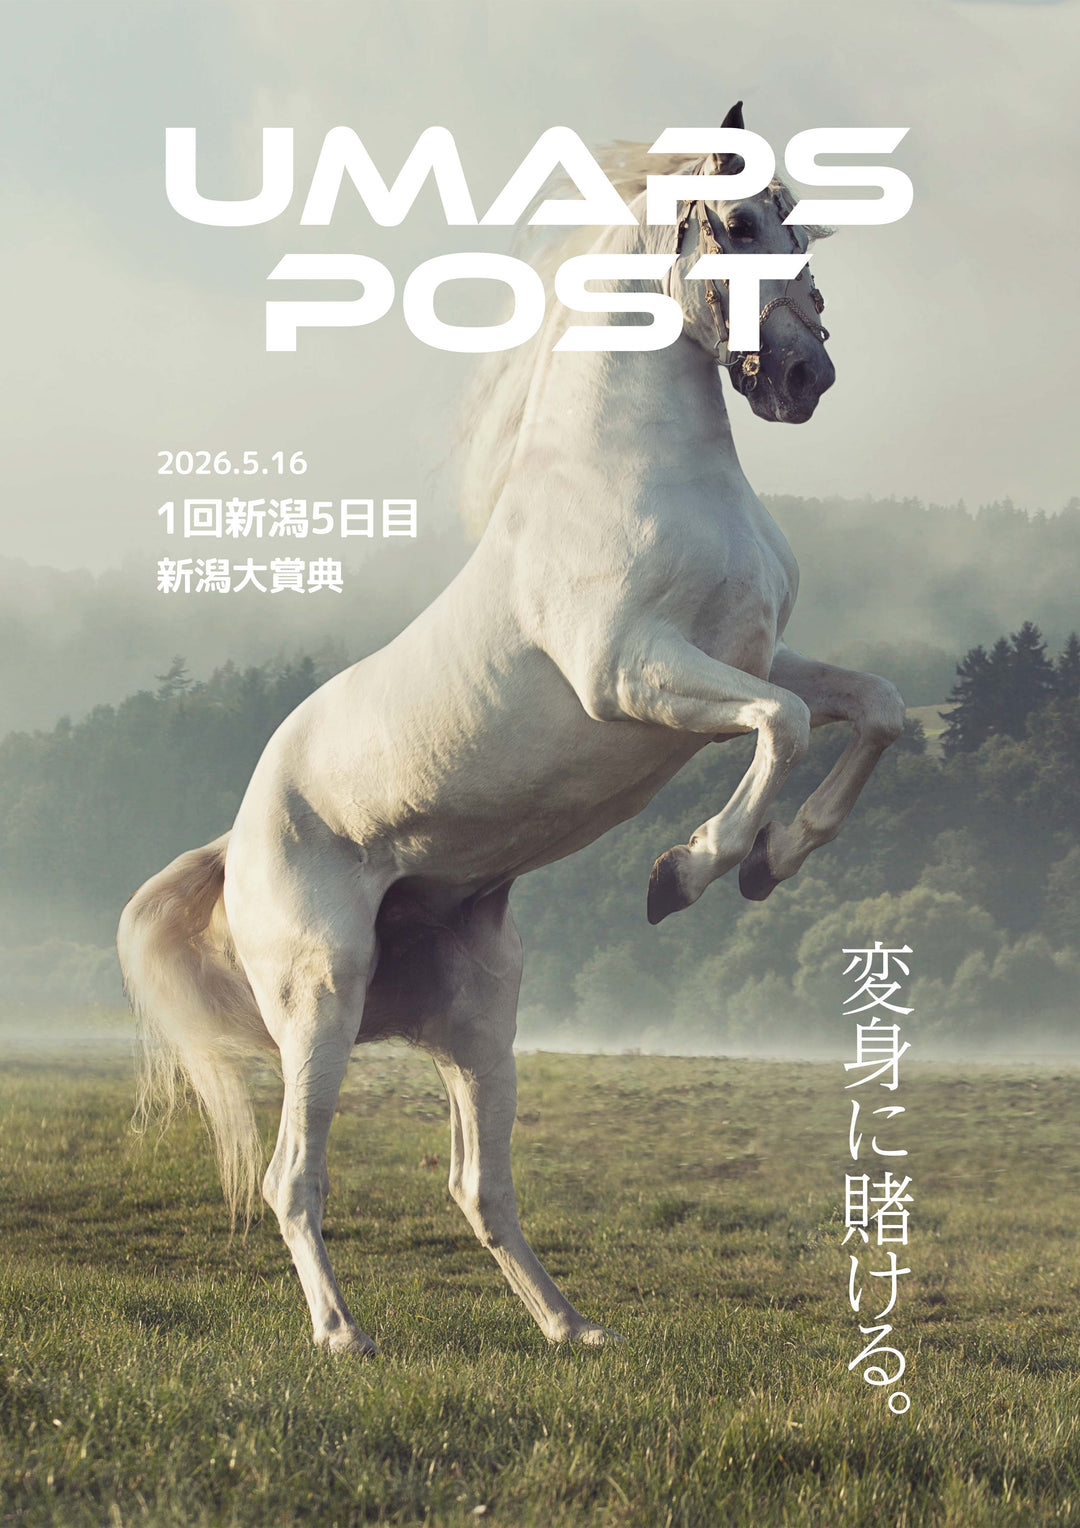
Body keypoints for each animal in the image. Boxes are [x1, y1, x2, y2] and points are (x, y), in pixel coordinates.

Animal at [118, 103, 905, 1355]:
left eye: (802, 228)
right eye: (735, 226)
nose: (803, 375)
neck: (635, 473)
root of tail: (235, 840)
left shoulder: (746, 659)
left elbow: (872, 708)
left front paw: (772, 862)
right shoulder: (636, 676)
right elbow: (782, 728)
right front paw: (691, 869)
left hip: (479, 1016)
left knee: (477, 1185)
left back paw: (572, 1327)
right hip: (321, 998)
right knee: (296, 1175)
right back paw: (344, 1334)